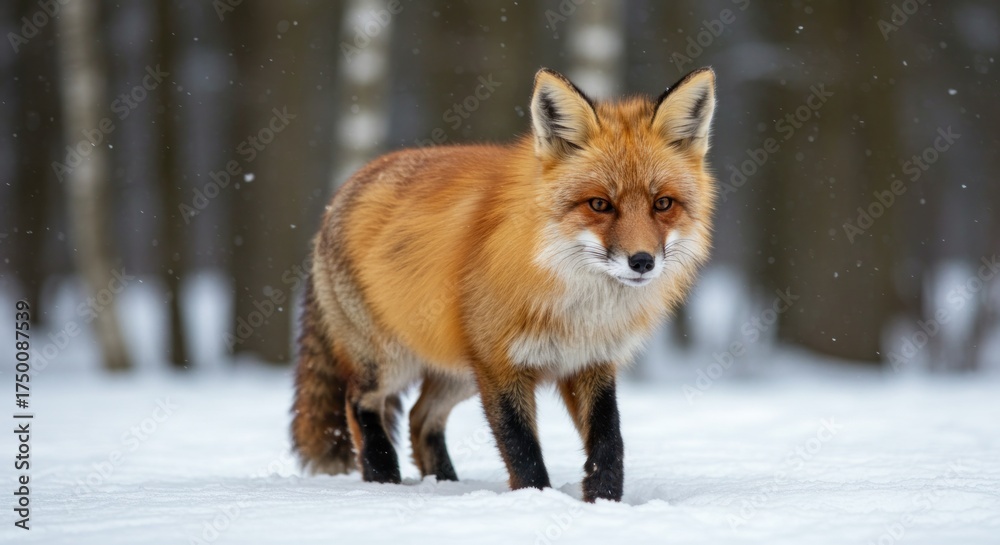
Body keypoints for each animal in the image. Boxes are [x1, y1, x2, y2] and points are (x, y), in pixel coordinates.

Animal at [291, 67, 718, 502]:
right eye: (599, 204)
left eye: (662, 204)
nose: (642, 262)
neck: (578, 306)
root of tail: (338, 196)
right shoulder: (499, 365)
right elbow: (521, 447)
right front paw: (535, 500)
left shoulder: (590, 361)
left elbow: (609, 440)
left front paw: (603, 501)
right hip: (392, 361)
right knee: (360, 403)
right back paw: (383, 481)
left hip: (458, 370)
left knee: (420, 416)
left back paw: (445, 483)